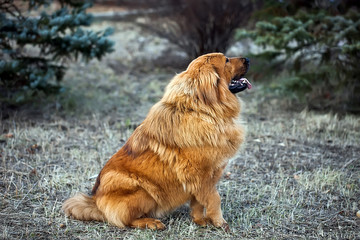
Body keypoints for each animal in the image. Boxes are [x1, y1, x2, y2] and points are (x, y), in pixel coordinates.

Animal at [62, 53, 250, 231]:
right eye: (226, 60)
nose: (248, 59)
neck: (203, 110)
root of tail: (95, 202)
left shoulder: (199, 180)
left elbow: (198, 203)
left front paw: (200, 221)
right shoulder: (201, 176)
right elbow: (214, 199)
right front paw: (220, 223)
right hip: (144, 191)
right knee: (125, 220)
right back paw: (151, 222)